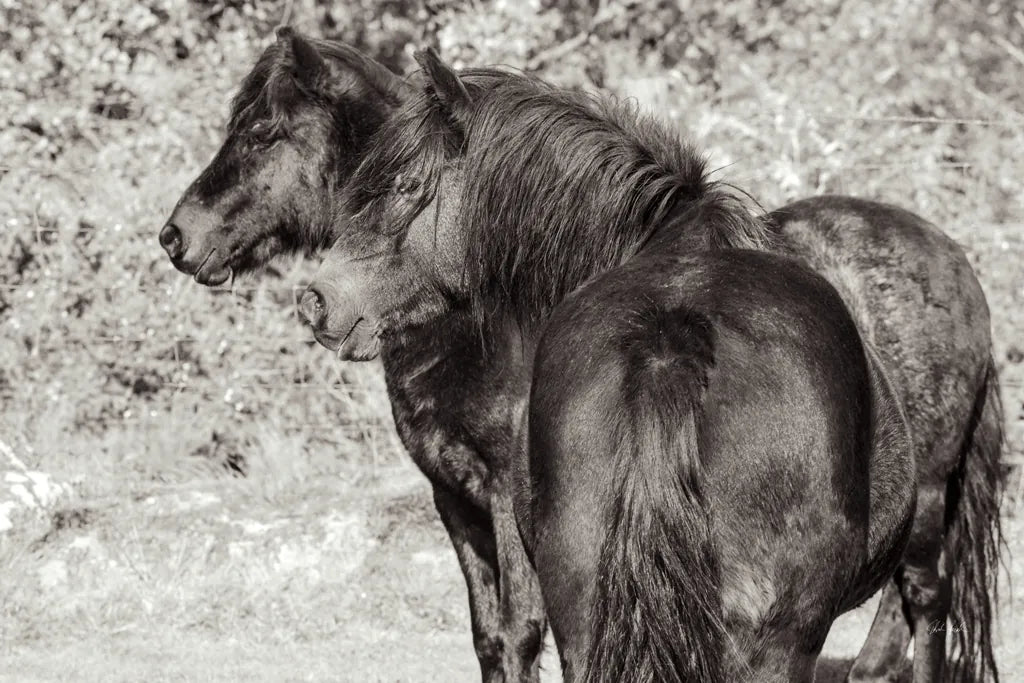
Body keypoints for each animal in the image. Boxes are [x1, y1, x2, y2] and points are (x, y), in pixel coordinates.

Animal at [160, 29, 1003, 682]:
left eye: (264, 133)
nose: (177, 235)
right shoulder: (455, 499)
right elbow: (490, 637)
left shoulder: (501, 496)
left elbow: (515, 632)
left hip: (926, 501)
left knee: (923, 607)